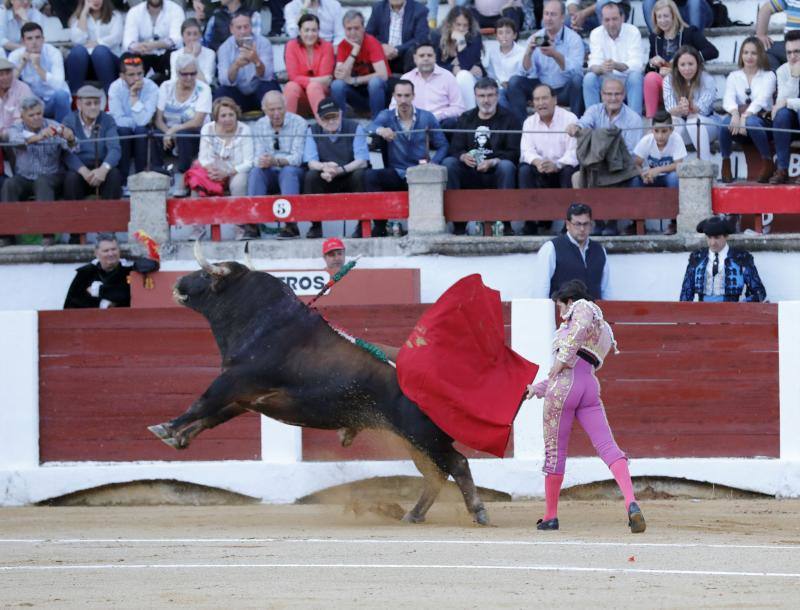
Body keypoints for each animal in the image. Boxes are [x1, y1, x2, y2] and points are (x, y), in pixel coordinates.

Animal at [147, 252, 490, 524]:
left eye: (206, 274)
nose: (177, 283)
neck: (261, 321)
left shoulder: (233, 381)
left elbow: (202, 402)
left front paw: (165, 428)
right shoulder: (246, 396)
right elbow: (212, 415)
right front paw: (179, 438)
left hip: (422, 434)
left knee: (456, 464)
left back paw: (477, 512)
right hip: (412, 438)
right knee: (435, 473)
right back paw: (413, 515)